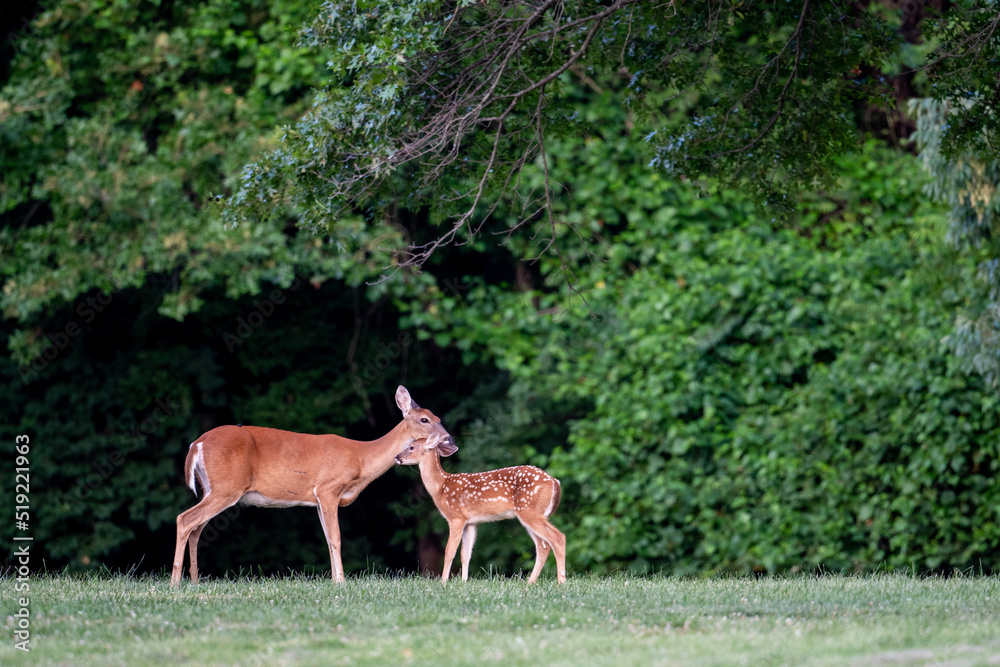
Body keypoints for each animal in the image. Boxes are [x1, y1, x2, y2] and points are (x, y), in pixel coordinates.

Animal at [172, 386, 454, 584]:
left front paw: (334, 580)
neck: (360, 458)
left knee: (197, 528)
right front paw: (341, 582)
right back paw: (176, 583)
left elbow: (328, 538)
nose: (450, 439)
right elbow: (337, 537)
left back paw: (194, 582)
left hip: (212, 488)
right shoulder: (328, 488)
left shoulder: (317, 499)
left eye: (439, 417)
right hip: (226, 487)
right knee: (185, 519)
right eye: (424, 420)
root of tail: (196, 444)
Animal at [398, 434, 572, 584]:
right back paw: (530, 583)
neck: (441, 487)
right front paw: (463, 581)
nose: (397, 457)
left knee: (558, 537)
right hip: (530, 514)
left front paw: (443, 582)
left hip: (529, 510)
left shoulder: (456, 517)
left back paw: (561, 581)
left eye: (411, 447)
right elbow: (466, 553)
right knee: (543, 546)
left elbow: (449, 551)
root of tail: (554, 481)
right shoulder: (470, 522)